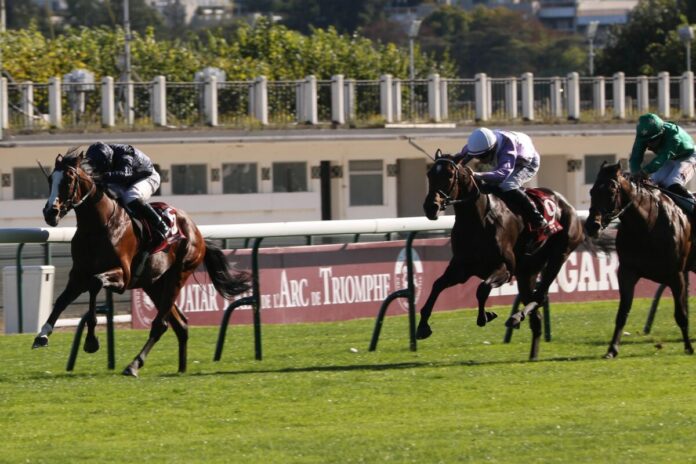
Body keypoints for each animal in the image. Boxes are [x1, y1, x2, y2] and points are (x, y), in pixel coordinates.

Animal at [34, 150, 250, 376]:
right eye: (50, 179)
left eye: (68, 179)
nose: (50, 212)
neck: (97, 227)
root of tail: (196, 232)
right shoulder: (78, 274)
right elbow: (61, 300)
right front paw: (42, 335)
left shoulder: (122, 276)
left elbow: (95, 283)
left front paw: (91, 341)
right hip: (154, 284)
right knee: (179, 324)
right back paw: (181, 368)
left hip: (178, 275)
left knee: (160, 324)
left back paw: (133, 365)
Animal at [416, 152, 584, 358]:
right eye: (430, 174)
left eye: (449, 175)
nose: (430, 207)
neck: (478, 220)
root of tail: (568, 206)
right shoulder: (461, 269)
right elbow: (437, 285)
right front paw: (423, 326)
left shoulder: (505, 268)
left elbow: (482, 288)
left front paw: (485, 316)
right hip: (527, 272)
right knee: (536, 312)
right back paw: (531, 352)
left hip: (559, 255)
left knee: (539, 297)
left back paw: (516, 317)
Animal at [584, 161, 692, 358]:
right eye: (592, 191)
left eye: (611, 191)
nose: (592, 225)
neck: (649, 223)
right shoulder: (627, 271)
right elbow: (622, 313)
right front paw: (612, 349)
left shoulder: (676, 274)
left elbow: (681, 314)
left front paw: (688, 347)